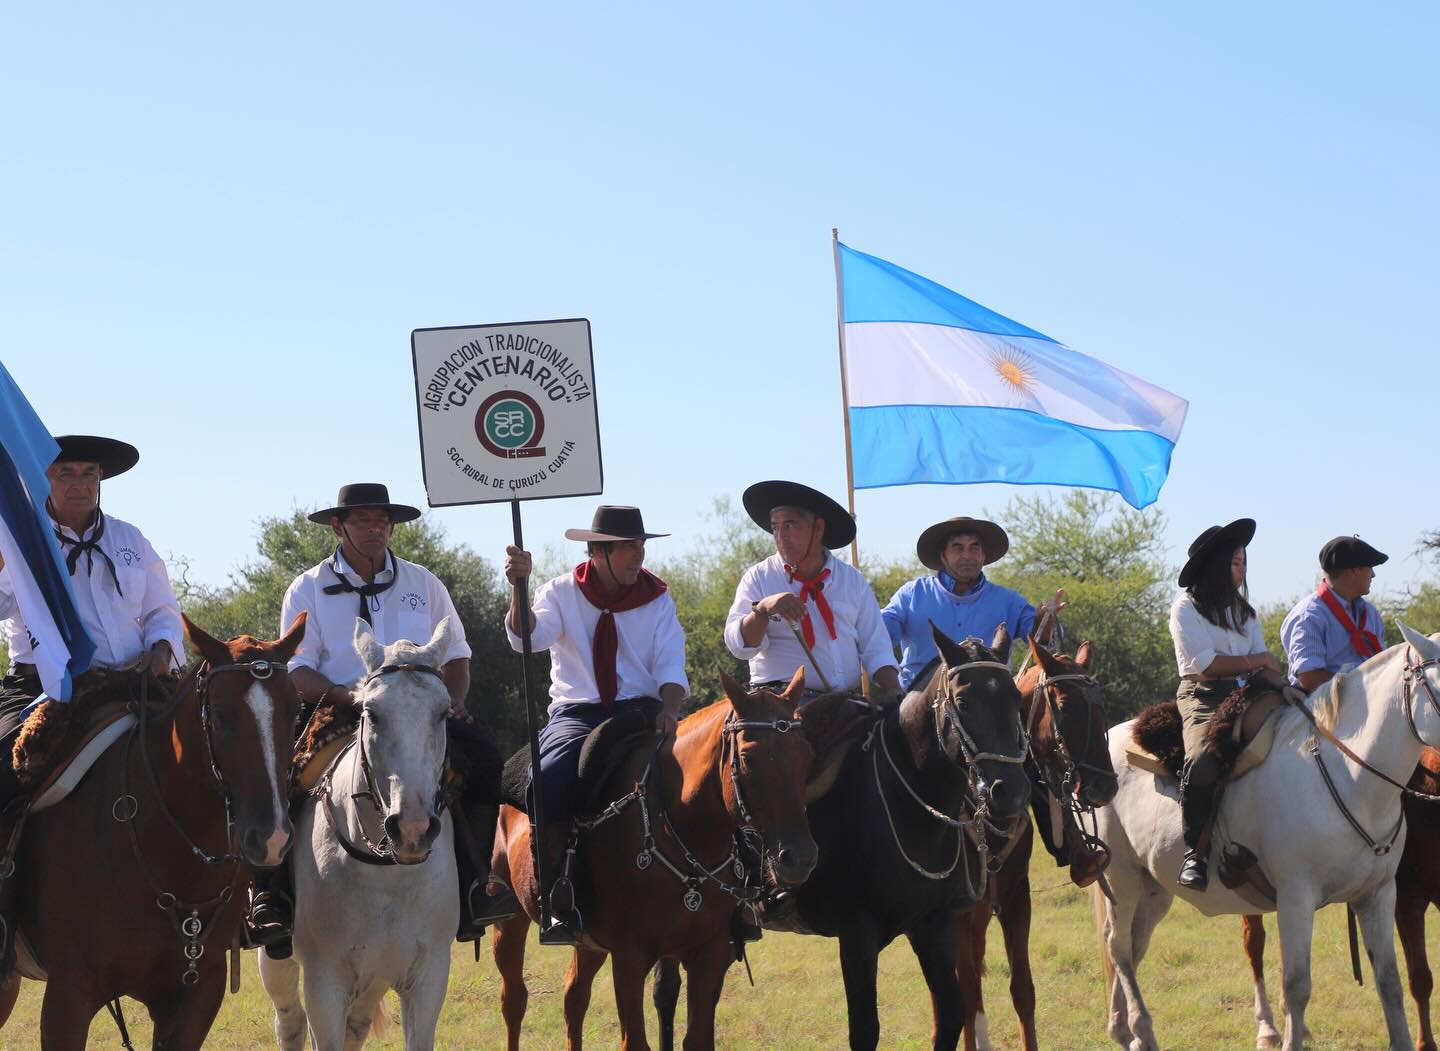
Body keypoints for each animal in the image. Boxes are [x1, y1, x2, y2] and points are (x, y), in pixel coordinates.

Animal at [258, 617, 466, 1050]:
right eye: (371, 713)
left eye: (442, 713)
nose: (412, 829)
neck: (387, 874)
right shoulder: (324, 986)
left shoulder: (428, 979)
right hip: (277, 961)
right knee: (289, 1022)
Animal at [491, 669, 827, 1051]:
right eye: (748, 757)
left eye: (806, 755)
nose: (799, 858)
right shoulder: (630, 956)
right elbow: (635, 1040)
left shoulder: (709, 953)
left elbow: (697, 1038)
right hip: (510, 923)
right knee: (514, 999)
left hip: (588, 942)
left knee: (574, 996)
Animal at [657, 622, 1033, 1051]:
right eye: (965, 702)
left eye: (1016, 699)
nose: (1011, 791)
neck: (901, 804)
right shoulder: (857, 936)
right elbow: (866, 1030)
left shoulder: (933, 925)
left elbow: (952, 1013)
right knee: (665, 993)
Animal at [955, 635, 1118, 1051]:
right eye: (1065, 705)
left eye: (1102, 705)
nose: (1104, 786)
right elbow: (963, 992)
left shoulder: (1016, 898)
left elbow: (1022, 991)